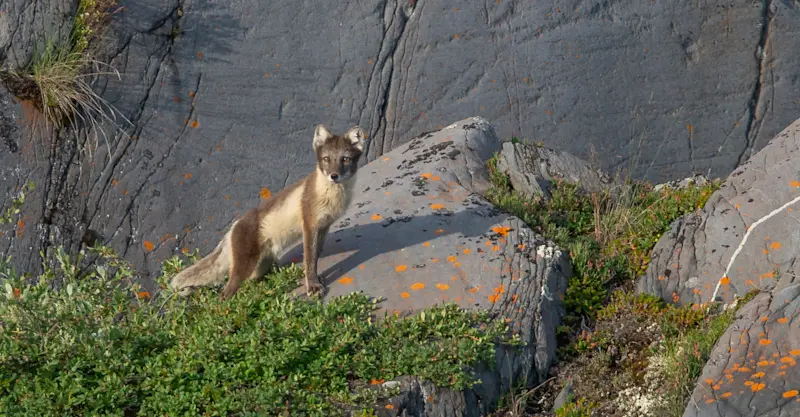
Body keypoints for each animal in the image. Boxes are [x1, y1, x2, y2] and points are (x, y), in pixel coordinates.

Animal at [169, 124, 366, 299]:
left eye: (345, 159)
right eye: (326, 159)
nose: (334, 176)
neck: (332, 196)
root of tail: (232, 229)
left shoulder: (324, 226)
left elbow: (314, 256)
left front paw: (316, 278)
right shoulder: (309, 225)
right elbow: (309, 259)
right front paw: (313, 285)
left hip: (259, 267)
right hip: (243, 267)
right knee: (225, 293)